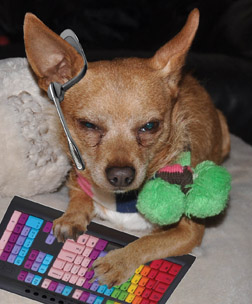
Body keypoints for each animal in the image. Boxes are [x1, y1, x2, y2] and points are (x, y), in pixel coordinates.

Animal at [24, 8, 230, 286]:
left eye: (150, 126)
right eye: (88, 125)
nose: (121, 175)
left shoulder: (189, 231)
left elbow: (150, 241)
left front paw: (118, 261)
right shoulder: (76, 176)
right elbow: (79, 195)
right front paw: (72, 217)